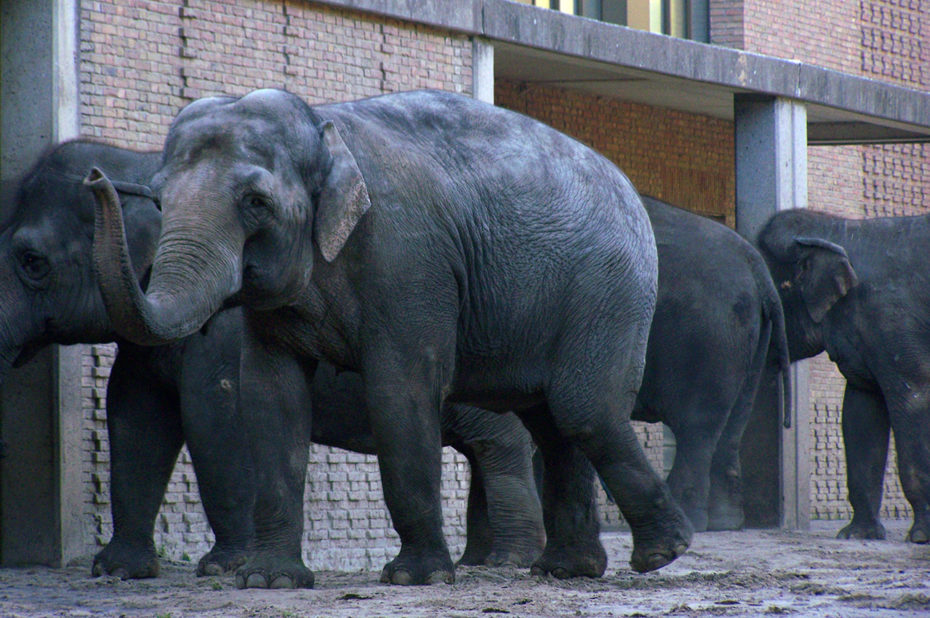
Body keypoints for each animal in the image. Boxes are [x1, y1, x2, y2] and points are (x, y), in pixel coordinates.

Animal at [0, 138, 544, 576]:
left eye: (31, 261)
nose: (96, 179)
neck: (139, 156)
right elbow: (135, 416)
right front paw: (117, 570)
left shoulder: (220, 335)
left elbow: (215, 415)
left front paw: (224, 567)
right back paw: (479, 560)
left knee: (502, 444)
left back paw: (506, 561)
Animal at [90, 86, 692, 588]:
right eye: (160, 201)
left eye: (256, 202)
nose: (95, 179)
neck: (325, 126)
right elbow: (271, 398)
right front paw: (269, 580)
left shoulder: (409, 259)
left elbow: (399, 391)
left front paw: (414, 578)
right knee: (553, 422)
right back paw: (568, 571)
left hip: (608, 291)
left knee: (582, 409)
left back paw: (661, 554)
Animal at [628, 196, 788, 528]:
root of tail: (757, 268)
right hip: (745, 337)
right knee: (733, 424)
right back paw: (725, 521)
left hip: (710, 335)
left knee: (698, 427)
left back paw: (689, 517)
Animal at [752, 208, 928, 544]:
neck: (839, 231)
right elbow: (861, 410)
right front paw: (856, 535)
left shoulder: (893, 322)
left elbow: (914, 397)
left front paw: (921, 536)